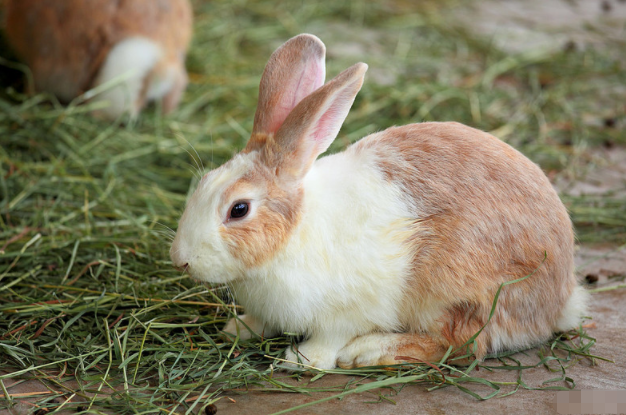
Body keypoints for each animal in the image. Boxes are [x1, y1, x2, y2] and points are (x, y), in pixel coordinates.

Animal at [167, 33, 584, 370]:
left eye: (239, 209)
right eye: (203, 182)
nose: (180, 259)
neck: (294, 234)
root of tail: (559, 300)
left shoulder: (348, 310)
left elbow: (330, 337)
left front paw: (302, 360)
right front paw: (238, 329)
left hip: (455, 291)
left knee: (461, 346)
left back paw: (368, 352)